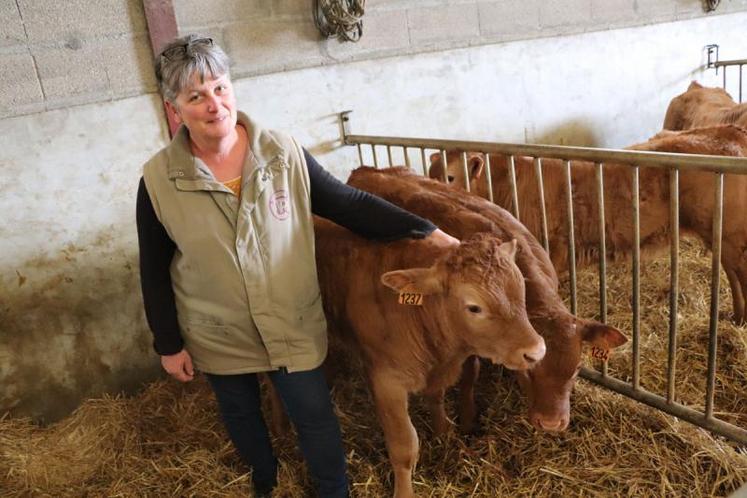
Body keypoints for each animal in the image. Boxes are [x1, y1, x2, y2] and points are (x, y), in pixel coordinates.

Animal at [348, 167, 628, 440]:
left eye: (578, 367)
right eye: (528, 370)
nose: (550, 423)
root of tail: (365, 169)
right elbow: (469, 375)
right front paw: (468, 419)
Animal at [430, 124, 747, 322]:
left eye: (450, 176)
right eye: (431, 172)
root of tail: (729, 131)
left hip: (731, 235)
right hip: (722, 237)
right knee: (732, 273)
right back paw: (738, 317)